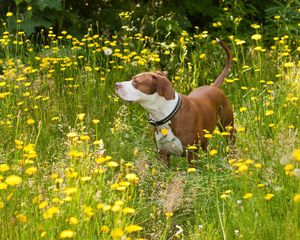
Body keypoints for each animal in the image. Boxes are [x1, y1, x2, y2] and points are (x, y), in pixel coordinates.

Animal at [115, 39, 234, 167]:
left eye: (135, 83)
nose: (116, 84)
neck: (165, 114)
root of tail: (214, 87)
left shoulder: (192, 154)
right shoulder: (162, 154)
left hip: (227, 128)